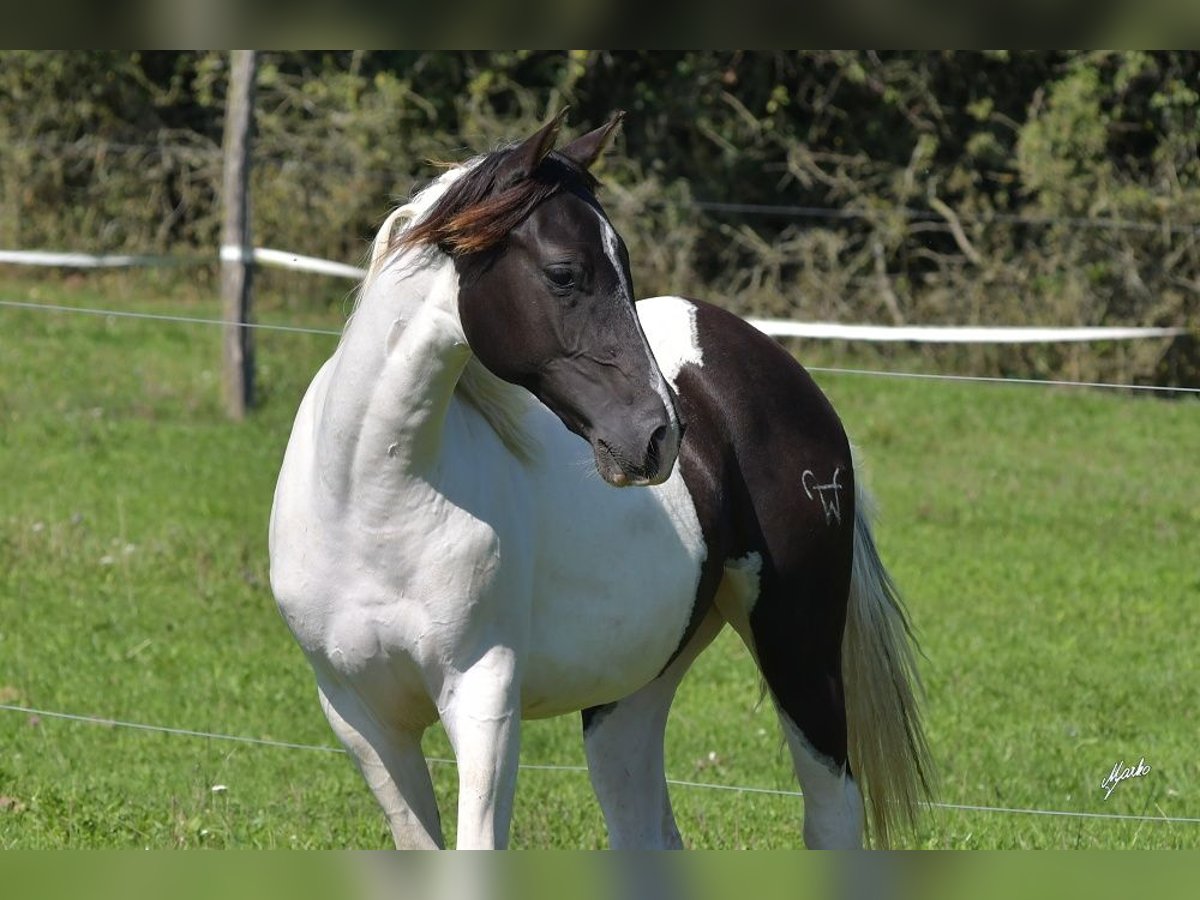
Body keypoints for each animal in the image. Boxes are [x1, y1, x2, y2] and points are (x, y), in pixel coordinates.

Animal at [267, 112, 931, 854]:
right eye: (564, 273)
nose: (659, 433)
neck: (372, 503)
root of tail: (773, 365)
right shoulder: (360, 718)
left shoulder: (483, 699)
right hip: (632, 694)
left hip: (799, 651)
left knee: (831, 817)